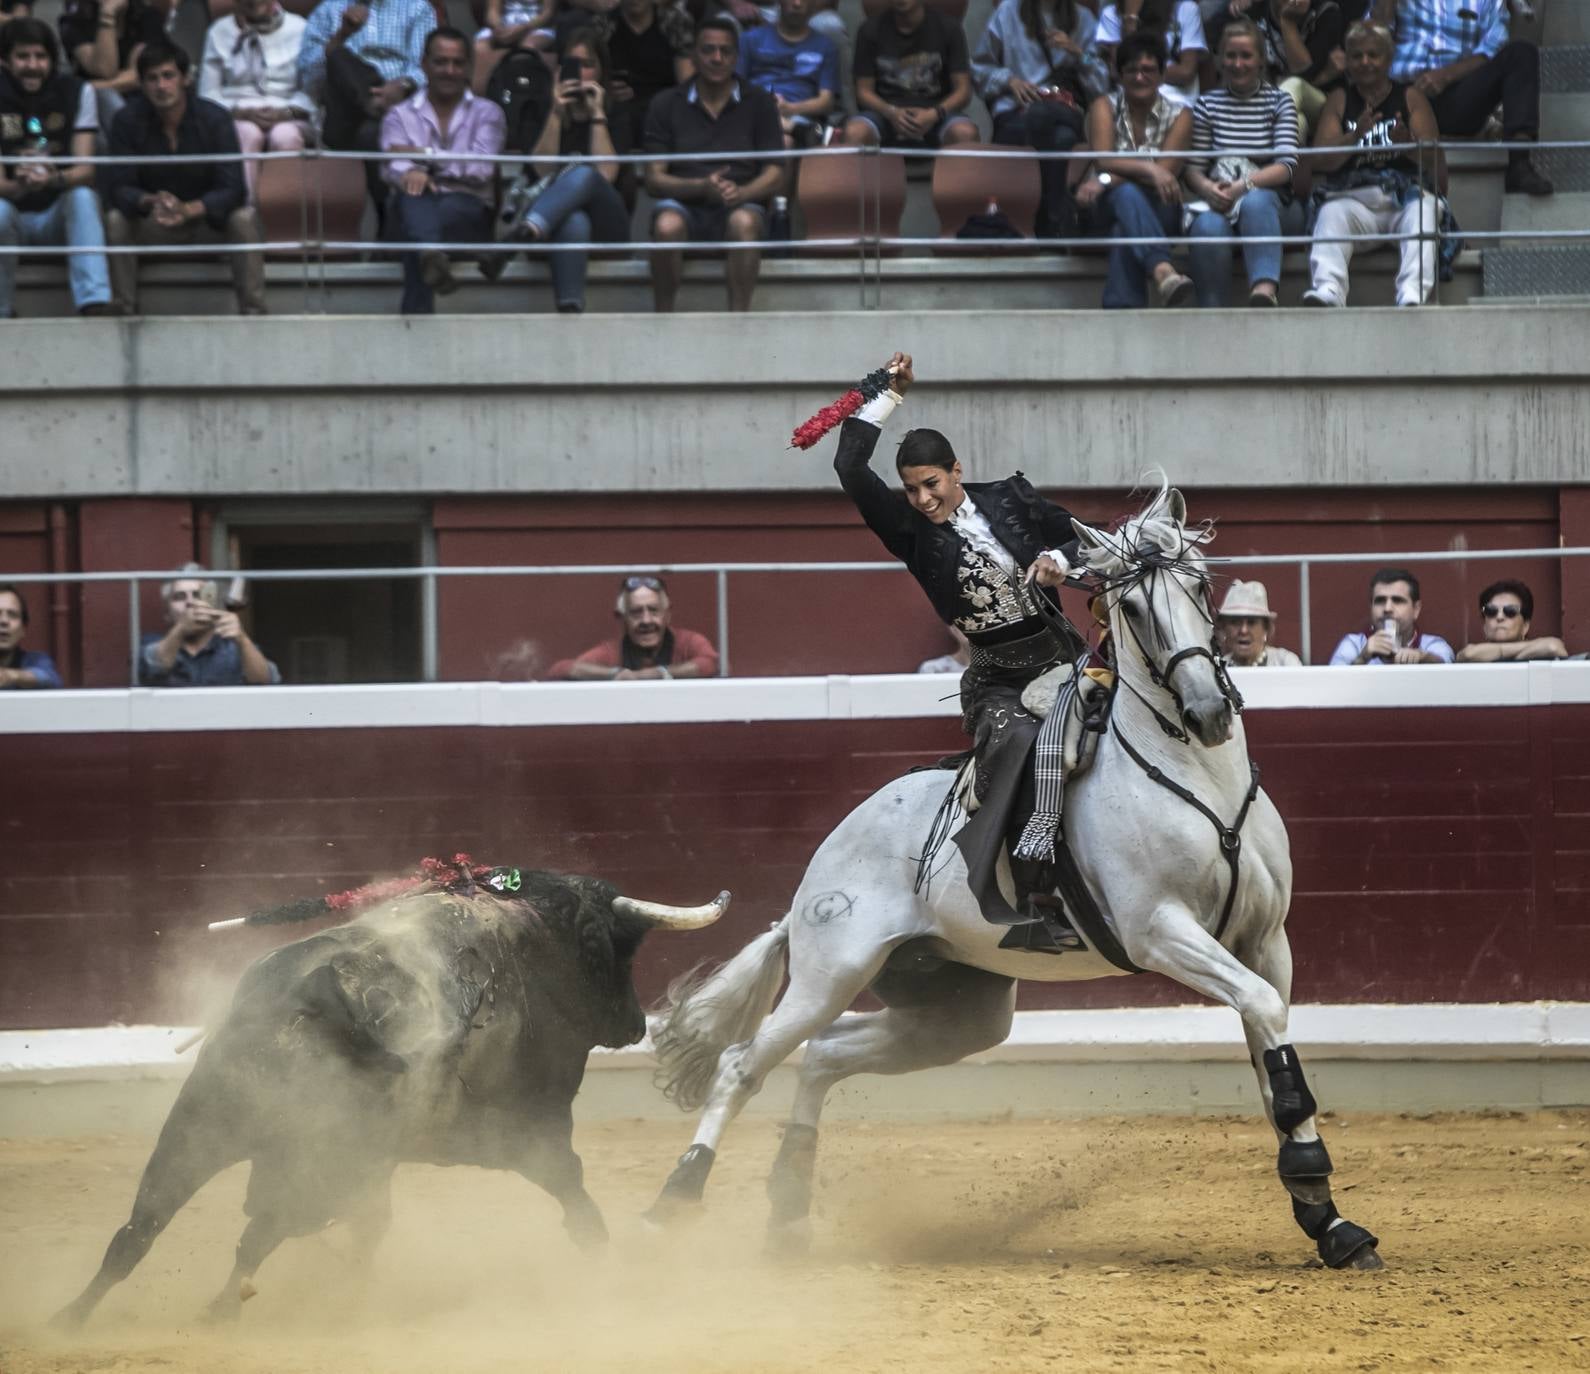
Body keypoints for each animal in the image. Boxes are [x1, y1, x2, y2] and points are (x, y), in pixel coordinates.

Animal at [54, 871, 728, 1329]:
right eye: (621, 952)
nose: (636, 1023)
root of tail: (326, 989)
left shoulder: (378, 1160)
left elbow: (370, 1223)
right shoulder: (524, 1130)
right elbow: (572, 1185)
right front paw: (604, 1260)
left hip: (205, 1123)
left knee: (141, 1229)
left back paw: (73, 1316)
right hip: (319, 1157)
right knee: (256, 1236)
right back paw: (220, 1309)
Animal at [645, 489, 1380, 1272]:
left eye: (1202, 586)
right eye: (1133, 608)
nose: (1208, 711)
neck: (1198, 777)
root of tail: (822, 863)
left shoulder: (1266, 939)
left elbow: (1272, 1053)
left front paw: (1330, 1220)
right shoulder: (1160, 931)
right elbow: (1265, 1015)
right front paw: (1313, 1187)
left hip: (960, 1009)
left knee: (823, 1056)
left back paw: (787, 1208)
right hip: (830, 972)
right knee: (742, 1064)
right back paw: (673, 1202)